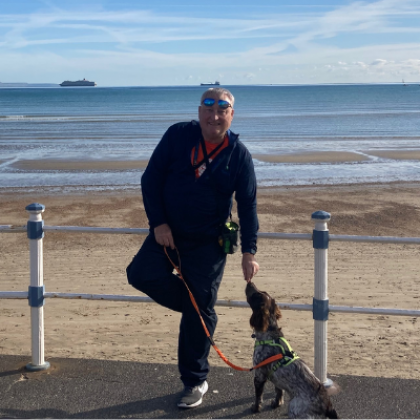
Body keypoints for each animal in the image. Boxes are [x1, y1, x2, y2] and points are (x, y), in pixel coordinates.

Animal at [246, 280, 338, 418]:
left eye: (257, 295)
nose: (250, 282)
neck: (270, 332)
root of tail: (328, 406)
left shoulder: (259, 375)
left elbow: (258, 397)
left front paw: (255, 408)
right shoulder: (276, 379)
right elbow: (278, 392)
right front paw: (276, 403)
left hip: (294, 408)